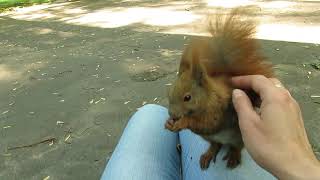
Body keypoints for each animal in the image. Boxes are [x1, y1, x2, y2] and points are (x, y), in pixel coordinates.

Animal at [166, 7, 274, 169]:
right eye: (169, 94)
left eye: (187, 97)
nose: (172, 115)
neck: (207, 98)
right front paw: (168, 123)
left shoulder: (218, 110)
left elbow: (207, 123)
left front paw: (183, 123)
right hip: (209, 138)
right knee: (215, 144)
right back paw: (208, 154)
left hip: (239, 136)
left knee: (236, 147)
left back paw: (233, 157)